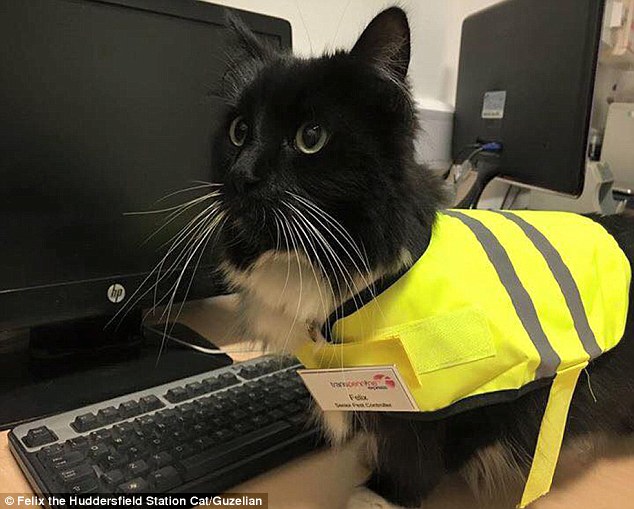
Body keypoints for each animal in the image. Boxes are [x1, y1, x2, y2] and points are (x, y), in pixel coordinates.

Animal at [210, 5, 632, 506]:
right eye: (239, 132)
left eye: (311, 137)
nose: (242, 174)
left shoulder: (442, 403)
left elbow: (414, 456)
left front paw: (379, 493)